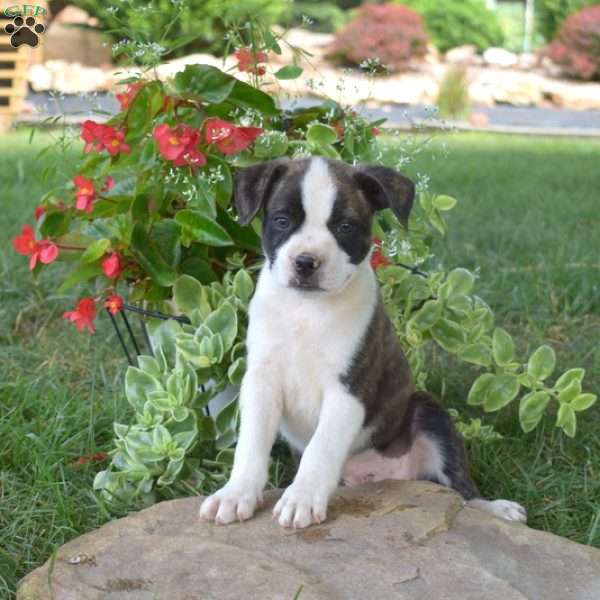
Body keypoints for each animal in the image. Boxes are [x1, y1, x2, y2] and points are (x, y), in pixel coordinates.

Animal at [198, 157, 524, 528]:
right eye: (281, 221)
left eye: (345, 227)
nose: (306, 262)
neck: (306, 310)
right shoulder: (261, 383)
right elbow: (251, 445)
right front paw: (235, 494)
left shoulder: (349, 390)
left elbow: (321, 447)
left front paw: (301, 497)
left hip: (430, 412)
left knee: (462, 489)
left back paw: (497, 508)